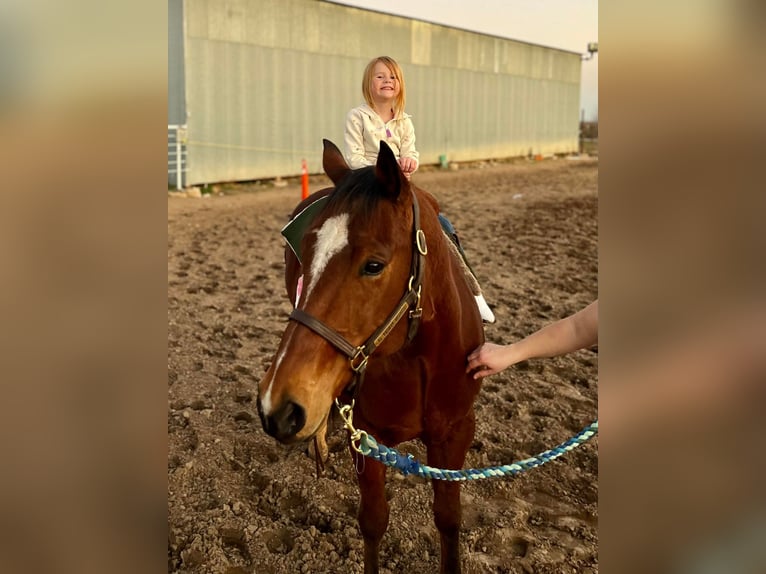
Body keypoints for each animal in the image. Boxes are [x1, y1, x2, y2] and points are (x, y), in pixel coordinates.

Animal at [258, 141, 486, 574]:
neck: (419, 359)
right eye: (307, 254)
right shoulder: (365, 436)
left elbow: (449, 518)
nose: (275, 407)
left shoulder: (455, 433)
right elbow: (374, 520)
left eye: (374, 265)